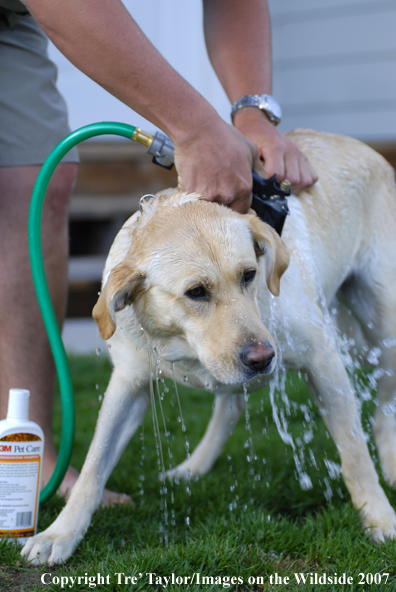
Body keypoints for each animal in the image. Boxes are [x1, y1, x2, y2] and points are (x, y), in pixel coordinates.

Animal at [22, 131, 396, 564]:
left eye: (249, 275)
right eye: (196, 292)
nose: (263, 358)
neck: (181, 344)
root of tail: (361, 145)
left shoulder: (323, 360)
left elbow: (354, 454)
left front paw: (379, 517)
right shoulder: (129, 383)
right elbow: (94, 465)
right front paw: (59, 534)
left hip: (383, 324)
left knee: (383, 410)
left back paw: (391, 468)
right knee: (230, 406)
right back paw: (193, 468)